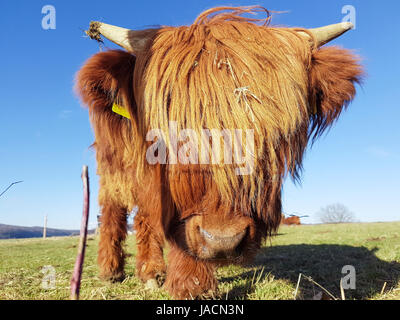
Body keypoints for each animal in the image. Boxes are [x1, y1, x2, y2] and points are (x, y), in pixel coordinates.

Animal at [75, 6, 362, 298]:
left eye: (277, 135)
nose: (223, 240)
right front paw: (185, 283)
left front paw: (191, 284)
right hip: (110, 166)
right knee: (113, 209)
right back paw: (113, 271)